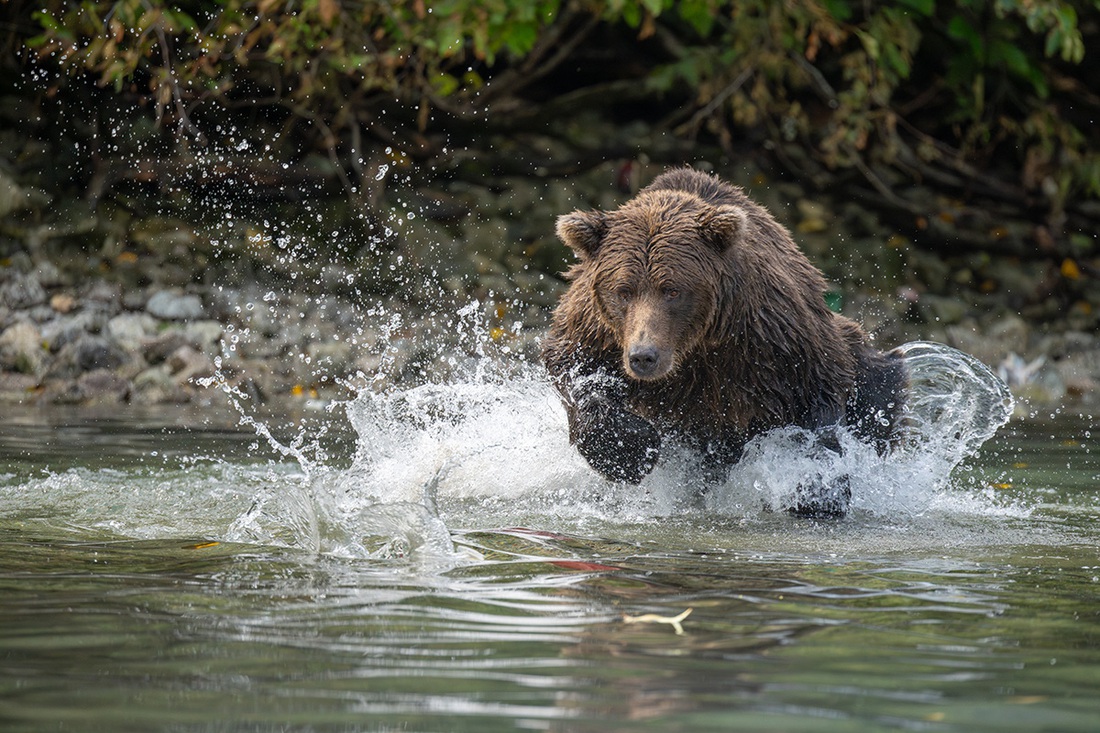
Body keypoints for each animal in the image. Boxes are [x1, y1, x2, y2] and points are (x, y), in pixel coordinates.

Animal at [539, 168, 902, 517]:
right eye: (623, 290)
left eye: (672, 290)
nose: (644, 356)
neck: (694, 348)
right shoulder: (596, 334)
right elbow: (573, 371)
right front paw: (632, 451)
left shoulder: (773, 341)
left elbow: (817, 397)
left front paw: (817, 491)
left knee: (880, 386)